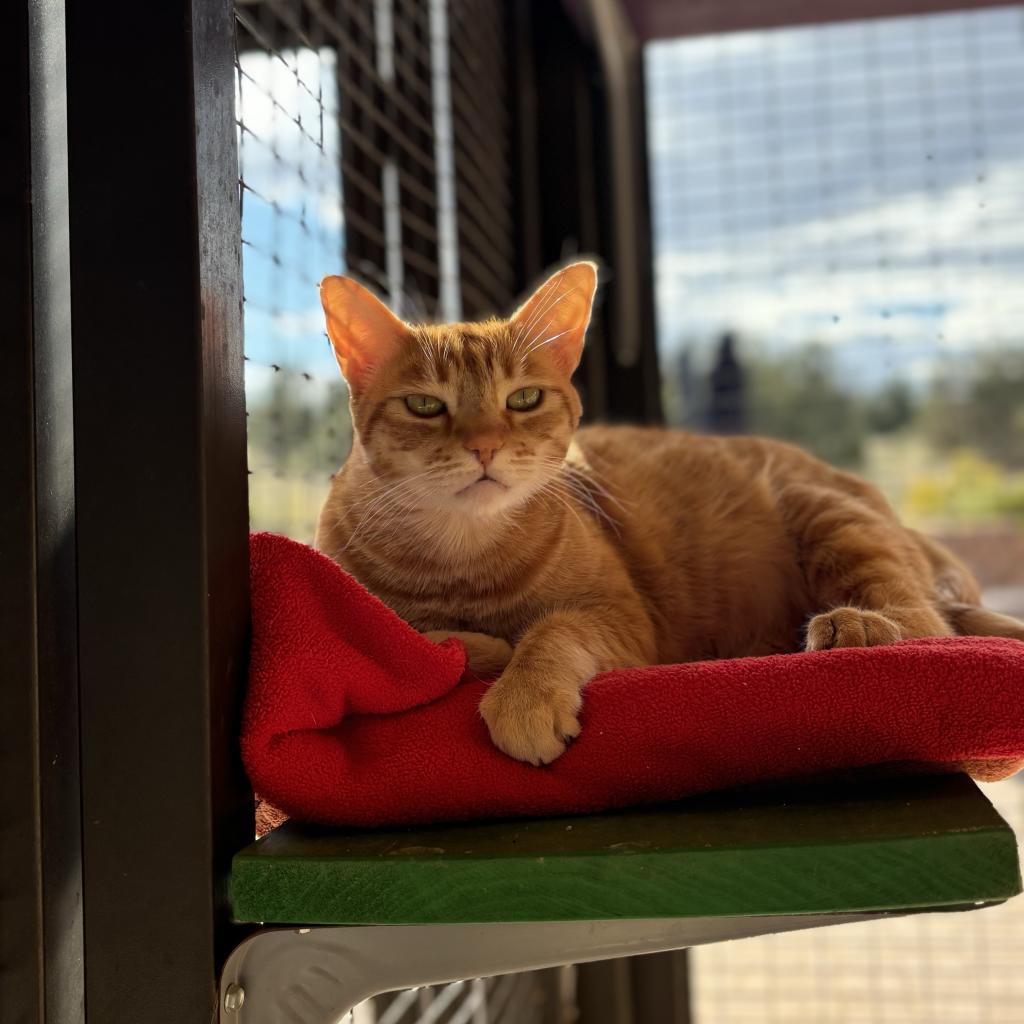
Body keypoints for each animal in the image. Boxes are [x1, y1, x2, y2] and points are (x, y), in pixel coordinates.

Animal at [313, 260, 1024, 765]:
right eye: (425, 406)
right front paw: (471, 645)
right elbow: (422, 638)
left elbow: (550, 630)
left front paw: (522, 691)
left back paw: (857, 627)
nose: (484, 445)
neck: (460, 559)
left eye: (524, 399)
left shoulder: (627, 623)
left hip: (829, 517)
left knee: (926, 622)